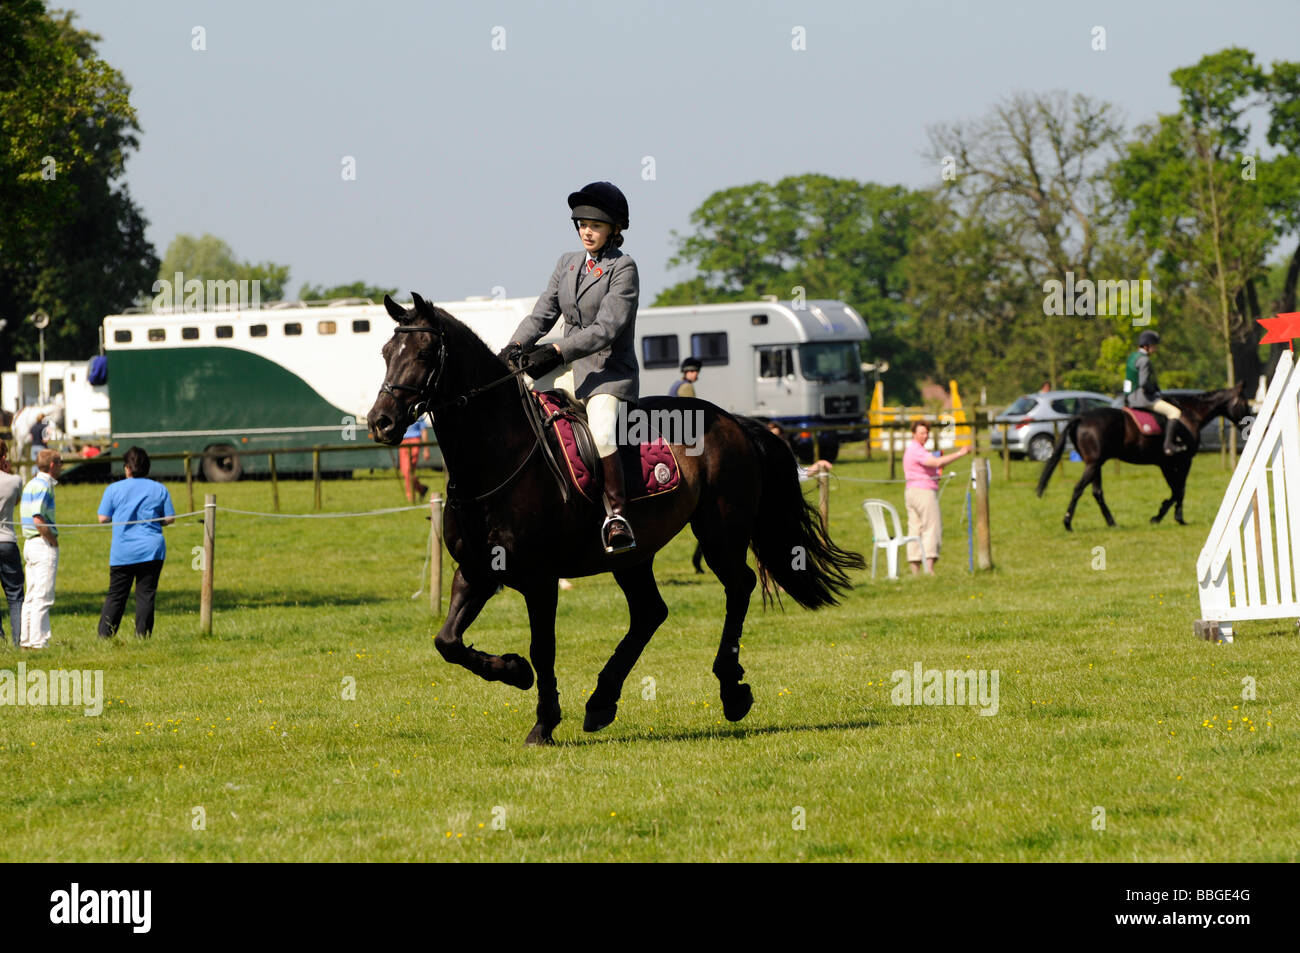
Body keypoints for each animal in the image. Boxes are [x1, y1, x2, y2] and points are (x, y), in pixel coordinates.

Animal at [366, 293, 863, 748]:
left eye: (424, 355)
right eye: (387, 353)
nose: (381, 422)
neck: (498, 456)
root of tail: (734, 421)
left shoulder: (539, 580)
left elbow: (542, 649)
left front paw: (542, 723)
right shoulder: (475, 571)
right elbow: (447, 641)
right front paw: (514, 671)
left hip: (720, 532)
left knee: (737, 587)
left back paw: (730, 690)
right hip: (633, 554)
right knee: (650, 612)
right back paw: (602, 701)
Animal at [1034, 382, 1248, 530]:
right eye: (1245, 402)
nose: (1249, 424)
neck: (1189, 415)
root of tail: (1081, 417)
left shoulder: (1165, 464)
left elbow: (1176, 489)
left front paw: (1161, 515)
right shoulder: (1182, 461)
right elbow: (1179, 490)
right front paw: (1170, 517)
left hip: (1095, 464)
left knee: (1097, 492)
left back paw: (1112, 523)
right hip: (1094, 464)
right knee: (1079, 489)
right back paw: (1068, 523)